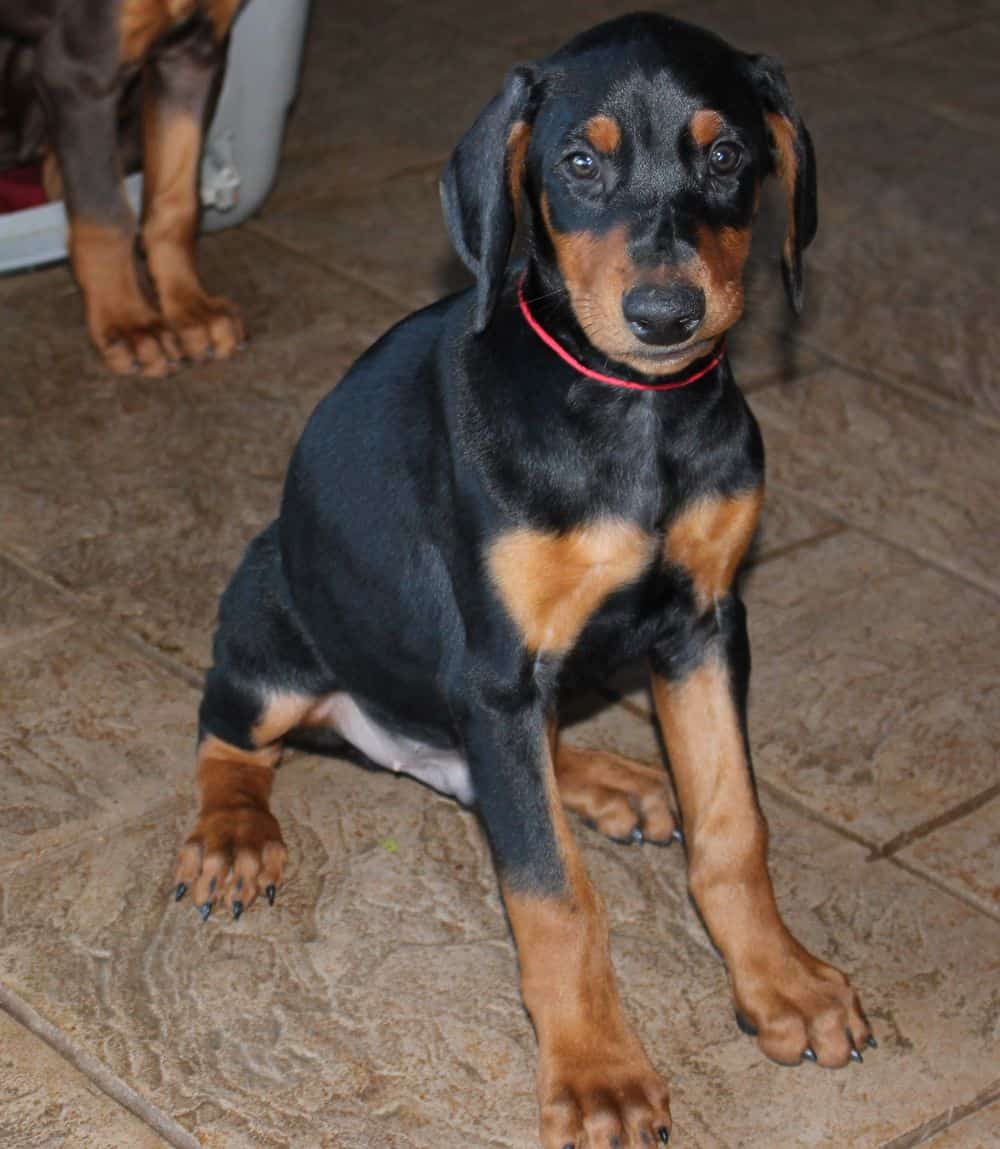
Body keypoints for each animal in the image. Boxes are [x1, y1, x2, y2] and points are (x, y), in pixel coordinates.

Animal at [0, 1, 247, 372]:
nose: (127, 322)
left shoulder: (193, 54)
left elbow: (176, 200)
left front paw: (191, 309)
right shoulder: (81, 74)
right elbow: (107, 217)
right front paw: (128, 322)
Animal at [174, 13, 878, 1144]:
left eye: (727, 155)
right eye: (579, 163)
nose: (665, 313)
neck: (633, 415)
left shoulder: (704, 625)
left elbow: (733, 825)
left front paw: (783, 983)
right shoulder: (497, 670)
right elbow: (553, 894)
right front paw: (598, 1073)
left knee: (516, 764)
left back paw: (612, 781)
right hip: (272, 611)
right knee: (228, 731)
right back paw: (235, 834)